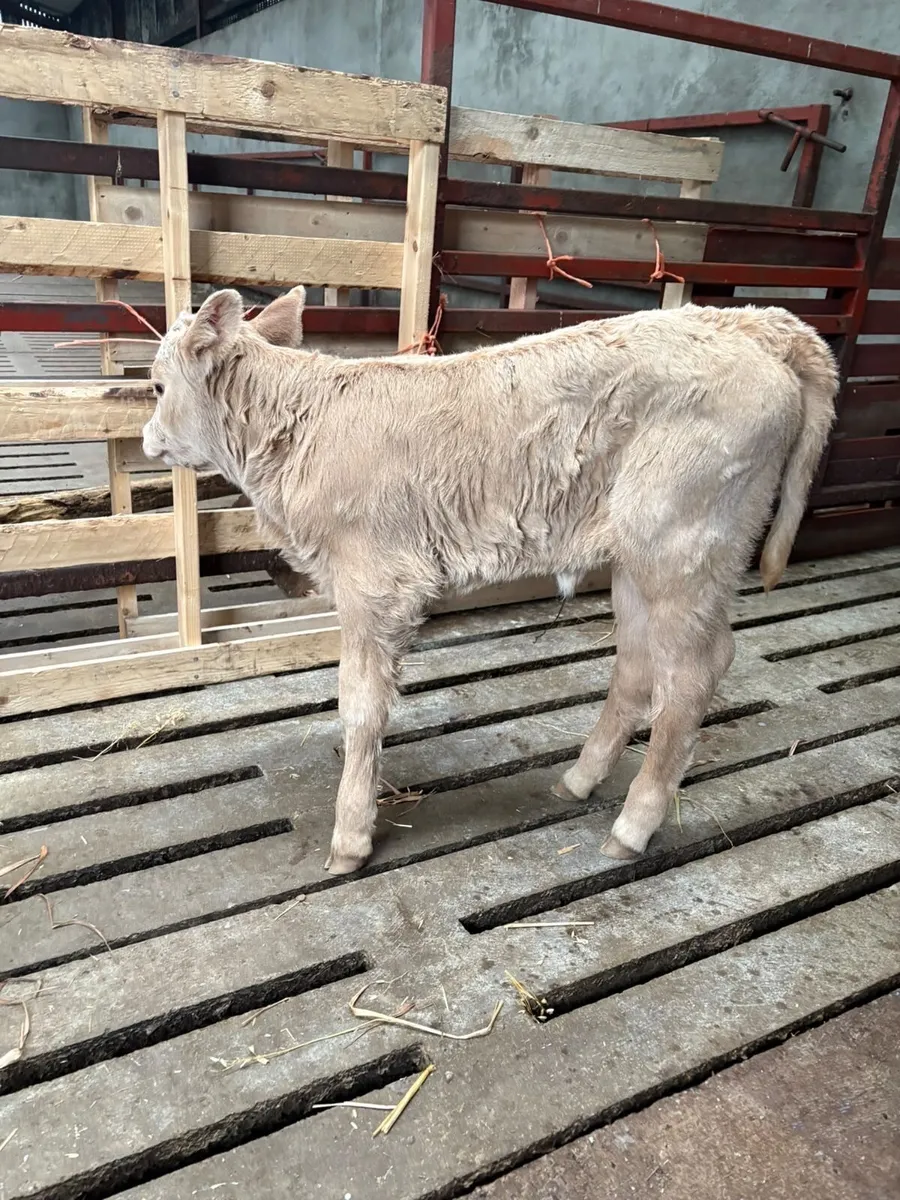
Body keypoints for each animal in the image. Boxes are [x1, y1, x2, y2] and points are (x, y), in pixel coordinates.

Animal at [143, 287, 837, 875]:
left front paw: (350, 838)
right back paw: (579, 780)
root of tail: (753, 323)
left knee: (694, 674)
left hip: (683, 540)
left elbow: (361, 707)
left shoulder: (374, 582)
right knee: (639, 664)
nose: (149, 439)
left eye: (155, 384)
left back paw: (633, 825)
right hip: (643, 556)